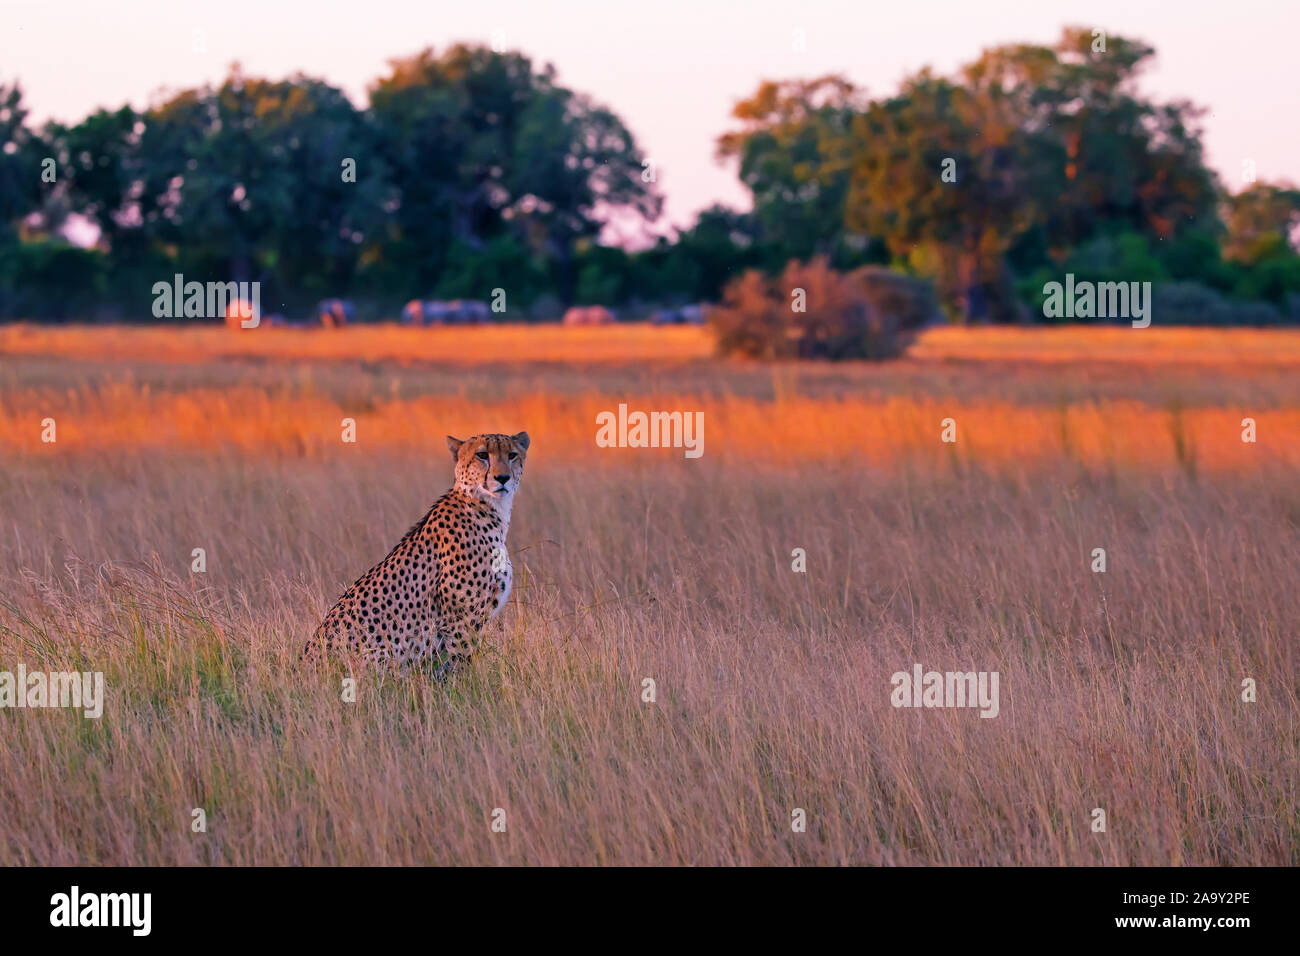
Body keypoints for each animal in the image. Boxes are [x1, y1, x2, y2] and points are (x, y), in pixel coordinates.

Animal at [304, 434, 527, 671]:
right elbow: (462, 665)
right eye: (482, 455)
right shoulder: (459, 621)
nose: (502, 478)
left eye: (512, 455)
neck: (489, 507)